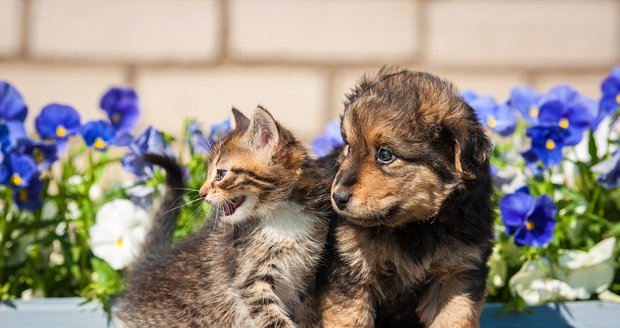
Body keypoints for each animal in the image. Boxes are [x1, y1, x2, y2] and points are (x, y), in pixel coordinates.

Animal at [116, 106, 330, 326]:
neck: (281, 215)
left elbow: (308, 316)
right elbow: (274, 320)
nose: (201, 193)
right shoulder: (250, 283)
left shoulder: (305, 280)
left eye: (221, 174)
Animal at [314, 68, 494, 326]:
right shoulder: (351, 273)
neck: (416, 227)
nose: (338, 197)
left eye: (385, 155)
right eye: (348, 147)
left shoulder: (457, 274)